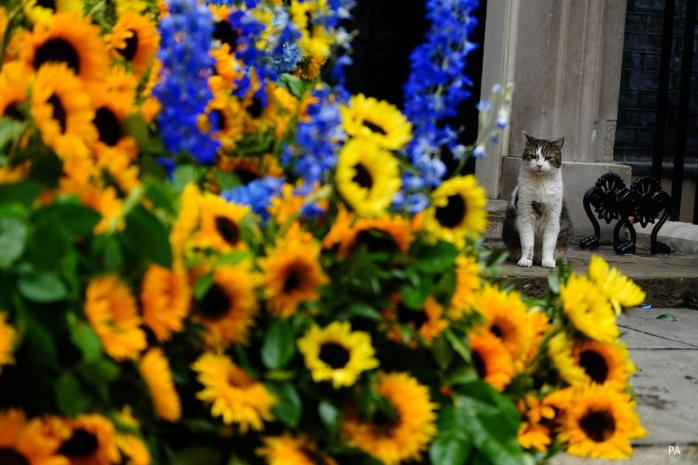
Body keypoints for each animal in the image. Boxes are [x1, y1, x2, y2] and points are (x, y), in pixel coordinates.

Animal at [500, 130, 572, 268]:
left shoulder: (553, 218)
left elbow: (549, 244)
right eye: (533, 156)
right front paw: (525, 260)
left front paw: (548, 261)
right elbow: (527, 242)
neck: (541, 182)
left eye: (548, 158)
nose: (539, 165)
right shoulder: (525, 215)